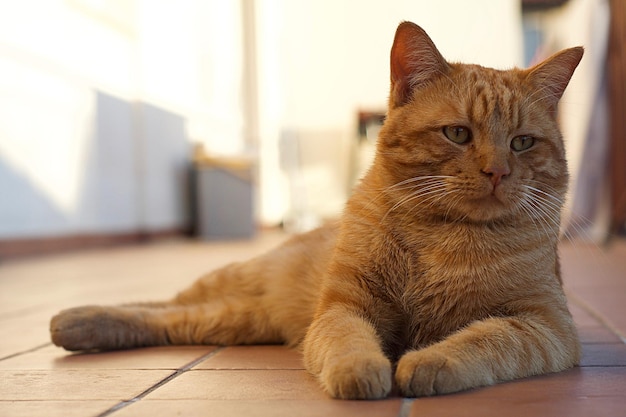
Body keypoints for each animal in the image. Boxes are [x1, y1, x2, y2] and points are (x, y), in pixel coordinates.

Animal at [51, 22, 584, 400]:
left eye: (522, 143)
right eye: (457, 134)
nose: (497, 172)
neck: (444, 237)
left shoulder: (545, 325)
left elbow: (483, 340)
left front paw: (428, 362)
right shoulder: (343, 309)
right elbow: (349, 344)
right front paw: (364, 372)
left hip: (234, 320)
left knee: (171, 317)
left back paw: (79, 327)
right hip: (236, 280)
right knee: (164, 300)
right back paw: (72, 318)